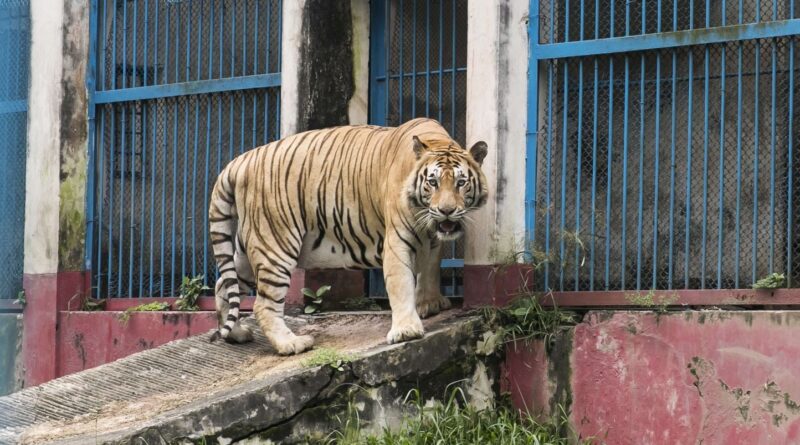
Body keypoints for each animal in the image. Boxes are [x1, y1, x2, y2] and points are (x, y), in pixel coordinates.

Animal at [209, 118, 488, 355]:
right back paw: (291, 344)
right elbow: (400, 282)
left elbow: (429, 268)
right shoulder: (398, 239)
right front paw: (407, 330)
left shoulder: (432, 238)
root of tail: (241, 160)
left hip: (250, 248)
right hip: (276, 245)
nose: (446, 211)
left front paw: (429, 303)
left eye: (461, 183)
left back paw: (236, 333)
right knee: (262, 304)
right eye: (432, 182)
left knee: (224, 283)